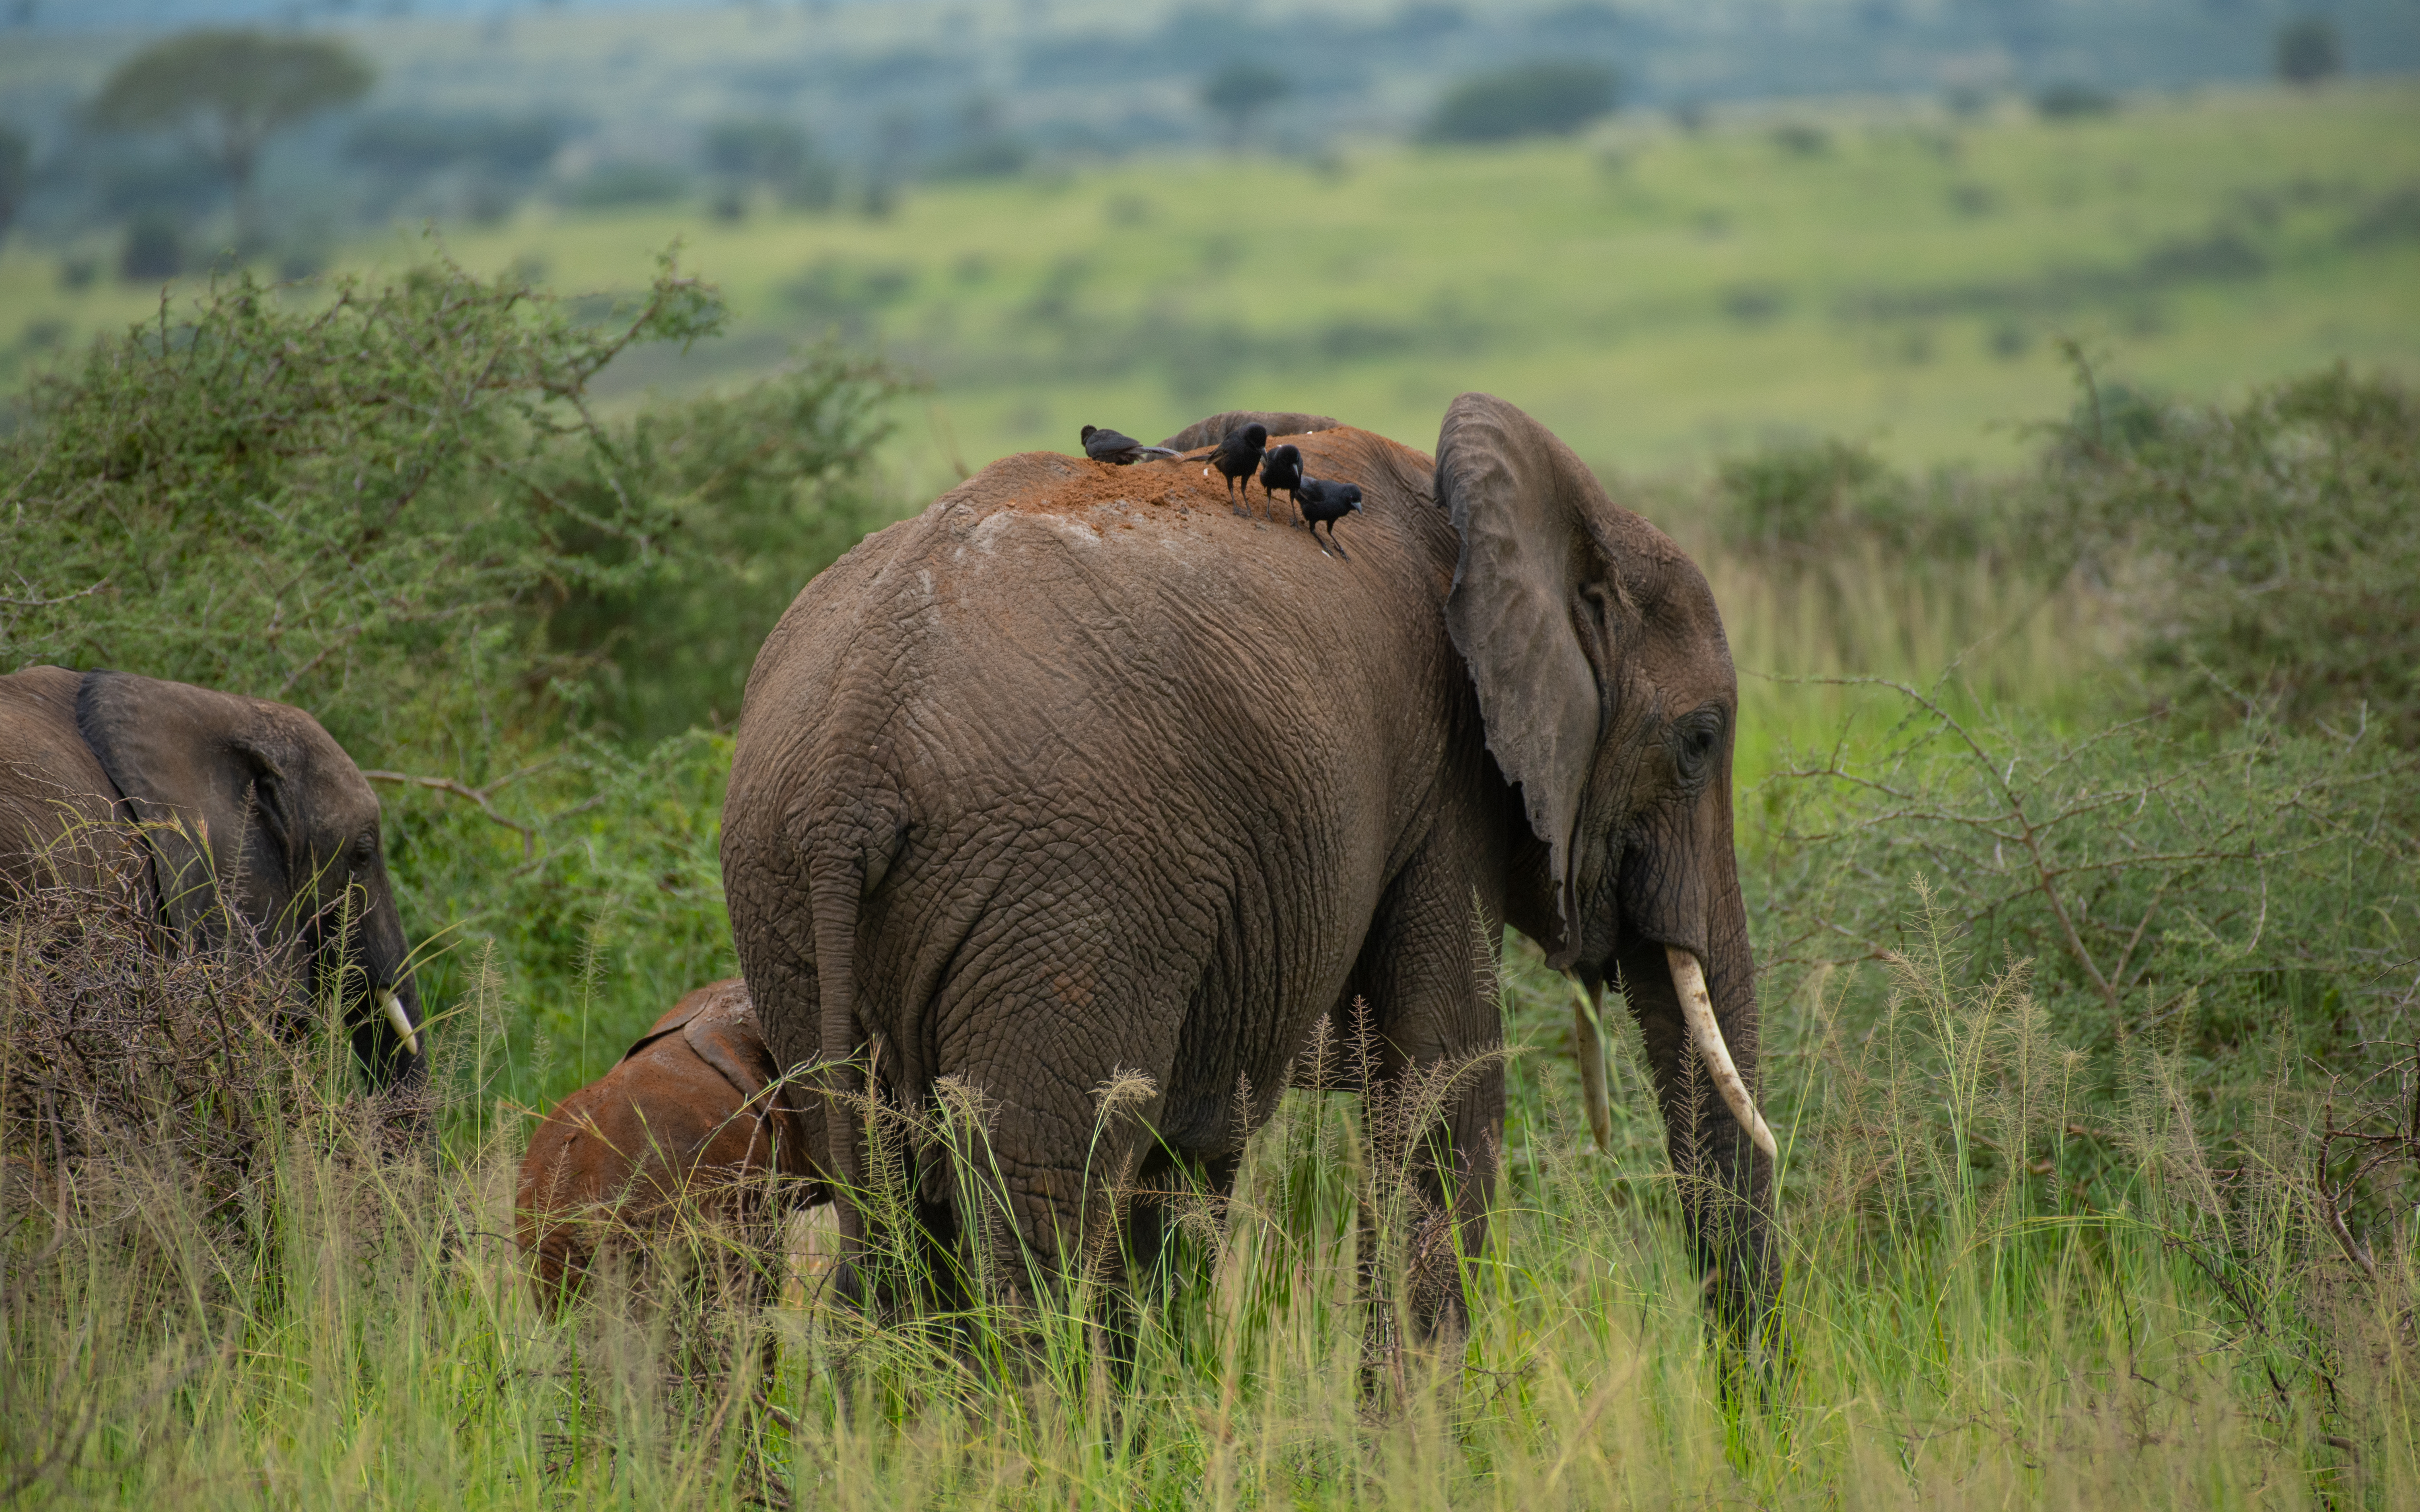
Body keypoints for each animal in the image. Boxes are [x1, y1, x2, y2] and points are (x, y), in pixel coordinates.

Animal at [716, 392, 1781, 1335]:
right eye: (1698, 742)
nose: (1739, 1404)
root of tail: (854, 754)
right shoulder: (1448, 779)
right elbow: (1445, 1086)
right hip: (1066, 898)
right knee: (1038, 1212)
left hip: (785, 900)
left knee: (887, 1204)